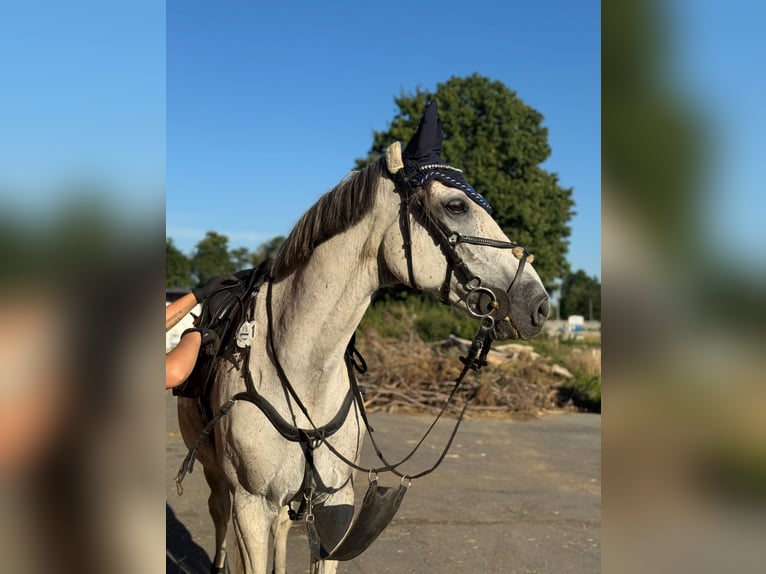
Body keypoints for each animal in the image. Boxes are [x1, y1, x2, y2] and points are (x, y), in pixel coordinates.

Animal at [177, 107, 549, 574]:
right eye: (456, 205)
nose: (538, 304)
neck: (304, 370)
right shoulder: (251, 505)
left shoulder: (334, 503)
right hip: (216, 474)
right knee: (218, 511)